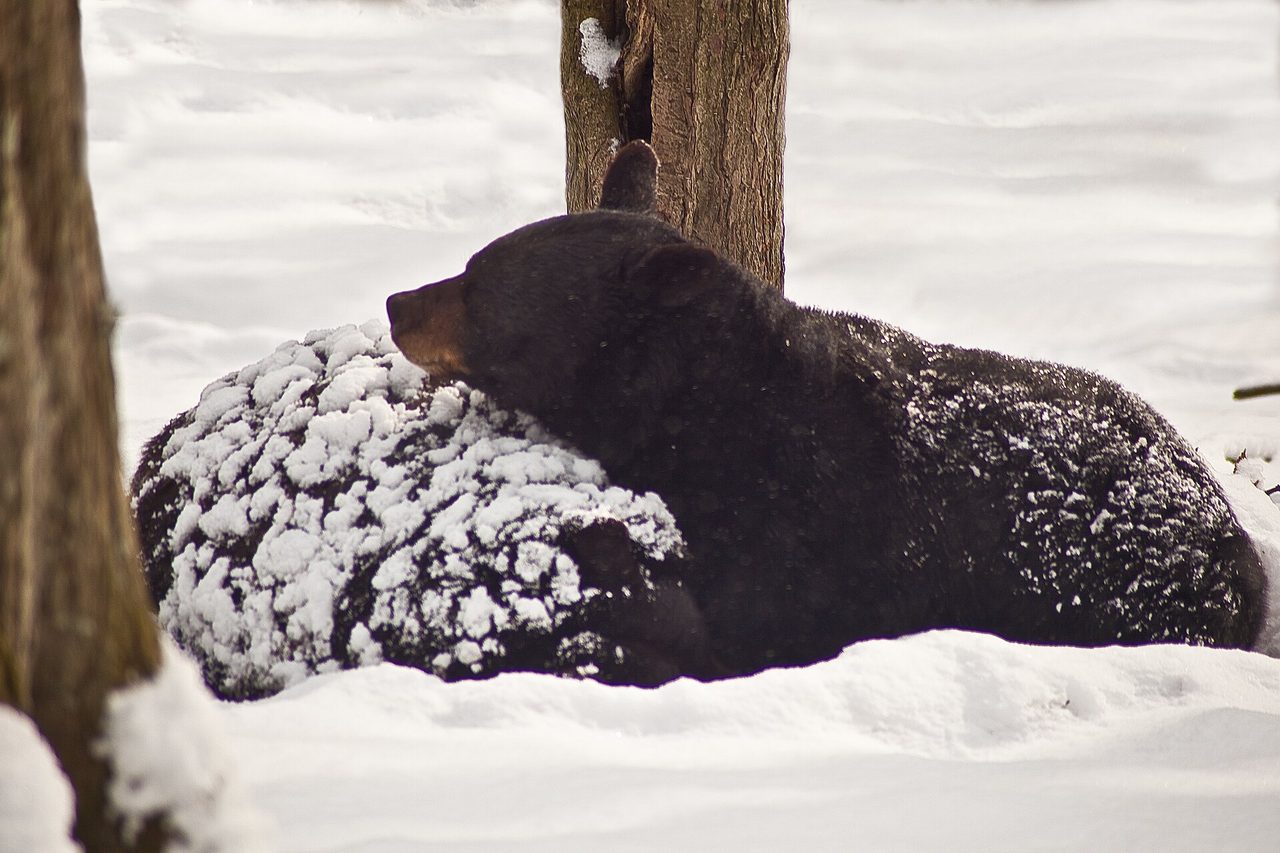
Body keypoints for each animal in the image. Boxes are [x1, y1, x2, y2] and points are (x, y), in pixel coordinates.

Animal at [386, 140, 1269, 677]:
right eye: (473, 261)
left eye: (480, 284)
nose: (398, 301)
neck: (702, 417)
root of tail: (1229, 531)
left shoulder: (803, 537)